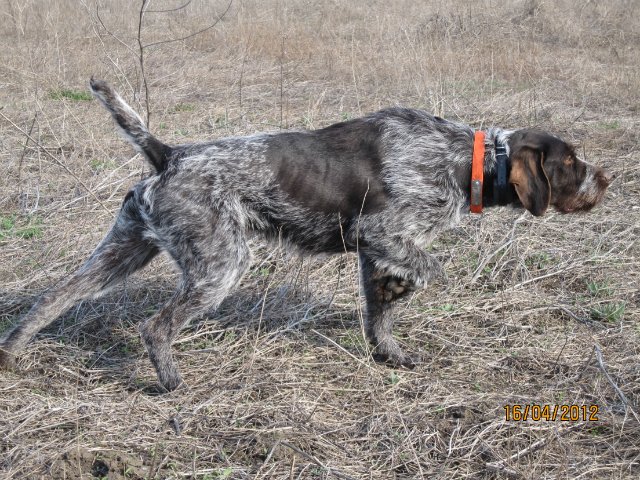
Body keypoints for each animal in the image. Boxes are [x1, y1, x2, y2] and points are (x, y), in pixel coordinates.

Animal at [0, 79, 612, 390]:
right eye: (572, 162)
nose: (607, 179)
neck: (465, 160)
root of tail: (169, 155)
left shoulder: (374, 251)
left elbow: (380, 310)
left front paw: (388, 352)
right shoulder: (383, 233)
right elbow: (430, 271)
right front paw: (406, 295)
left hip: (122, 251)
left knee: (52, 297)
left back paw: (12, 354)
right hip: (219, 266)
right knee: (155, 326)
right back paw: (171, 380)